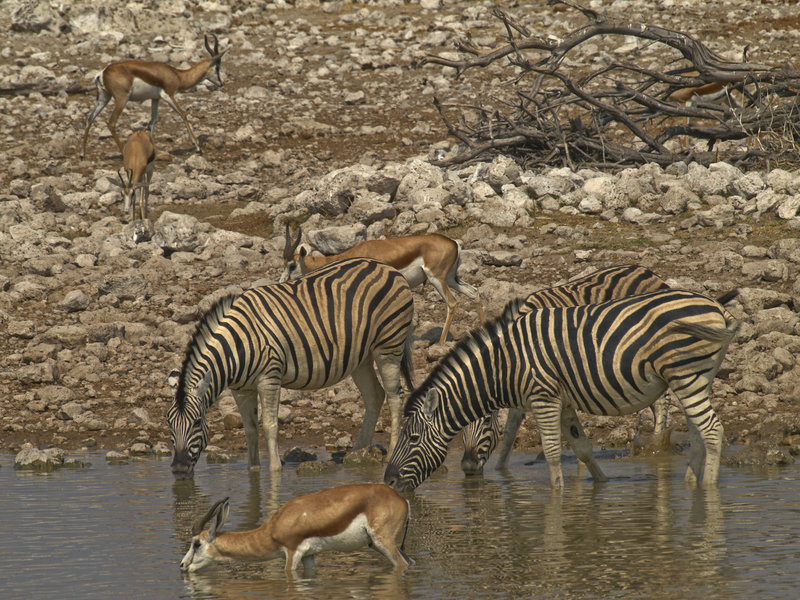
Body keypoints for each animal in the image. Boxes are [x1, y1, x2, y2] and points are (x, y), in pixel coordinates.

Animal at [168, 257, 415, 476]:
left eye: (197, 423)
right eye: (169, 425)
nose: (178, 469)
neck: (237, 346)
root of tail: (385, 266)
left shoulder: (269, 377)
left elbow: (269, 425)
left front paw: (275, 470)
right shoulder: (241, 390)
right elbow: (250, 429)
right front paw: (253, 471)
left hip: (388, 347)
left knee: (395, 397)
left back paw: (390, 451)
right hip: (360, 358)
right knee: (375, 395)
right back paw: (358, 451)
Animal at [384, 289, 739, 491]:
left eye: (412, 439)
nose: (387, 481)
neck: (504, 364)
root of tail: (715, 306)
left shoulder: (543, 398)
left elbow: (554, 453)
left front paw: (558, 500)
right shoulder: (565, 402)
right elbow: (583, 449)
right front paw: (600, 487)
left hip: (687, 375)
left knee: (712, 430)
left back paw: (708, 492)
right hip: (694, 378)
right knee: (698, 433)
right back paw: (691, 484)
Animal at [459, 265, 671, 475]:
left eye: (487, 421)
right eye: (462, 426)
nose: (468, 466)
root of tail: (646, 271)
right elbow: (511, 427)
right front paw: (501, 469)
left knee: (662, 400)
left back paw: (657, 448)